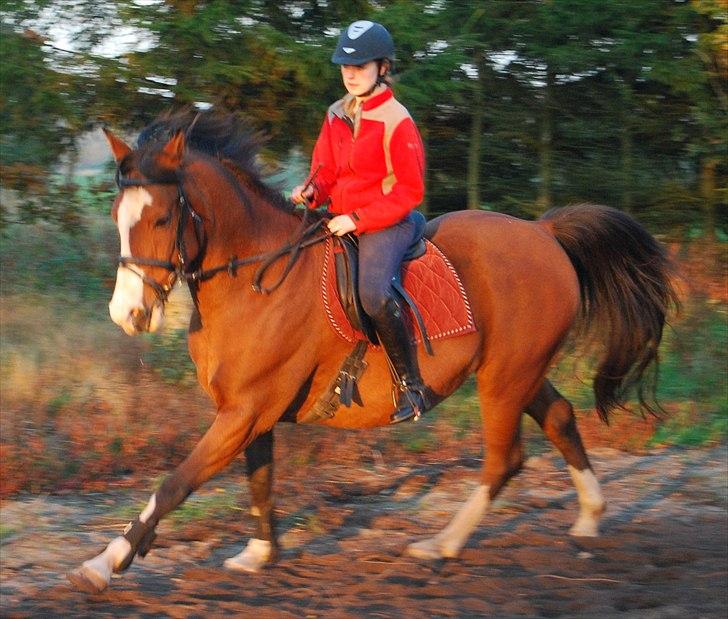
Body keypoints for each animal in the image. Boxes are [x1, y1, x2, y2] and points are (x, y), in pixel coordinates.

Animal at [68, 111, 676, 596]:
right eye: (117, 215)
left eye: (162, 218)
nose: (127, 315)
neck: (254, 278)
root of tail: (545, 232)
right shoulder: (248, 411)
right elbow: (260, 481)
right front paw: (259, 555)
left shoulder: (245, 410)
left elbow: (174, 484)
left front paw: (105, 563)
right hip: (518, 371)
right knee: (560, 417)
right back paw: (589, 520)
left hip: (505, 378)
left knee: (503, 459)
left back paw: (441, 545)